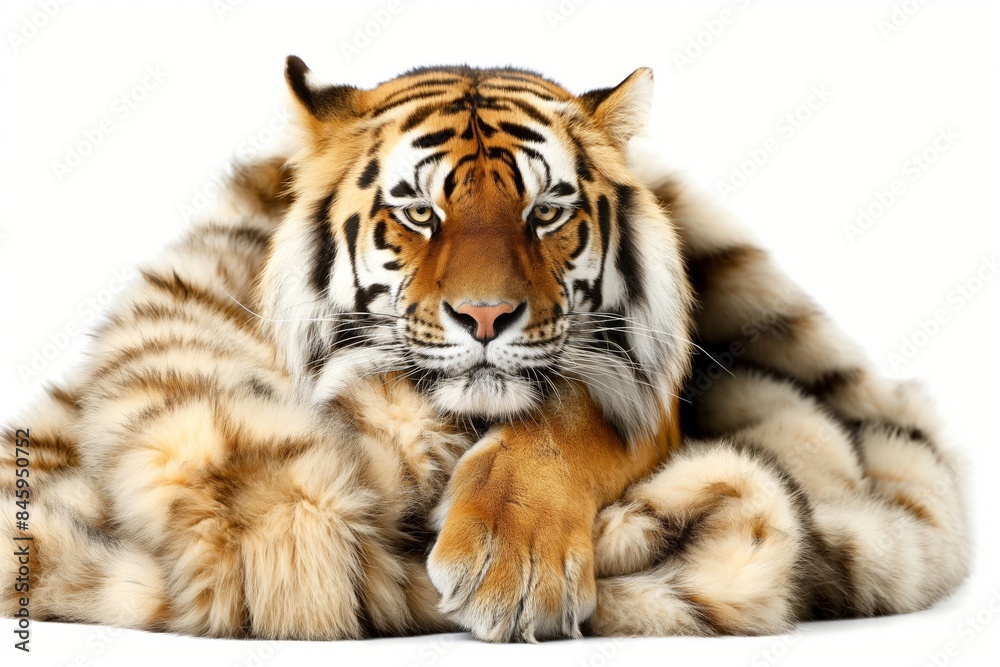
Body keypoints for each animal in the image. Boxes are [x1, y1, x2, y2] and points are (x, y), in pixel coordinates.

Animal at [1, 57, 968, 643]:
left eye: (546, 210)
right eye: (418, 211)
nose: (486, 315)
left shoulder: (640, 390)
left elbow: (562, 424)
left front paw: (513, 563)